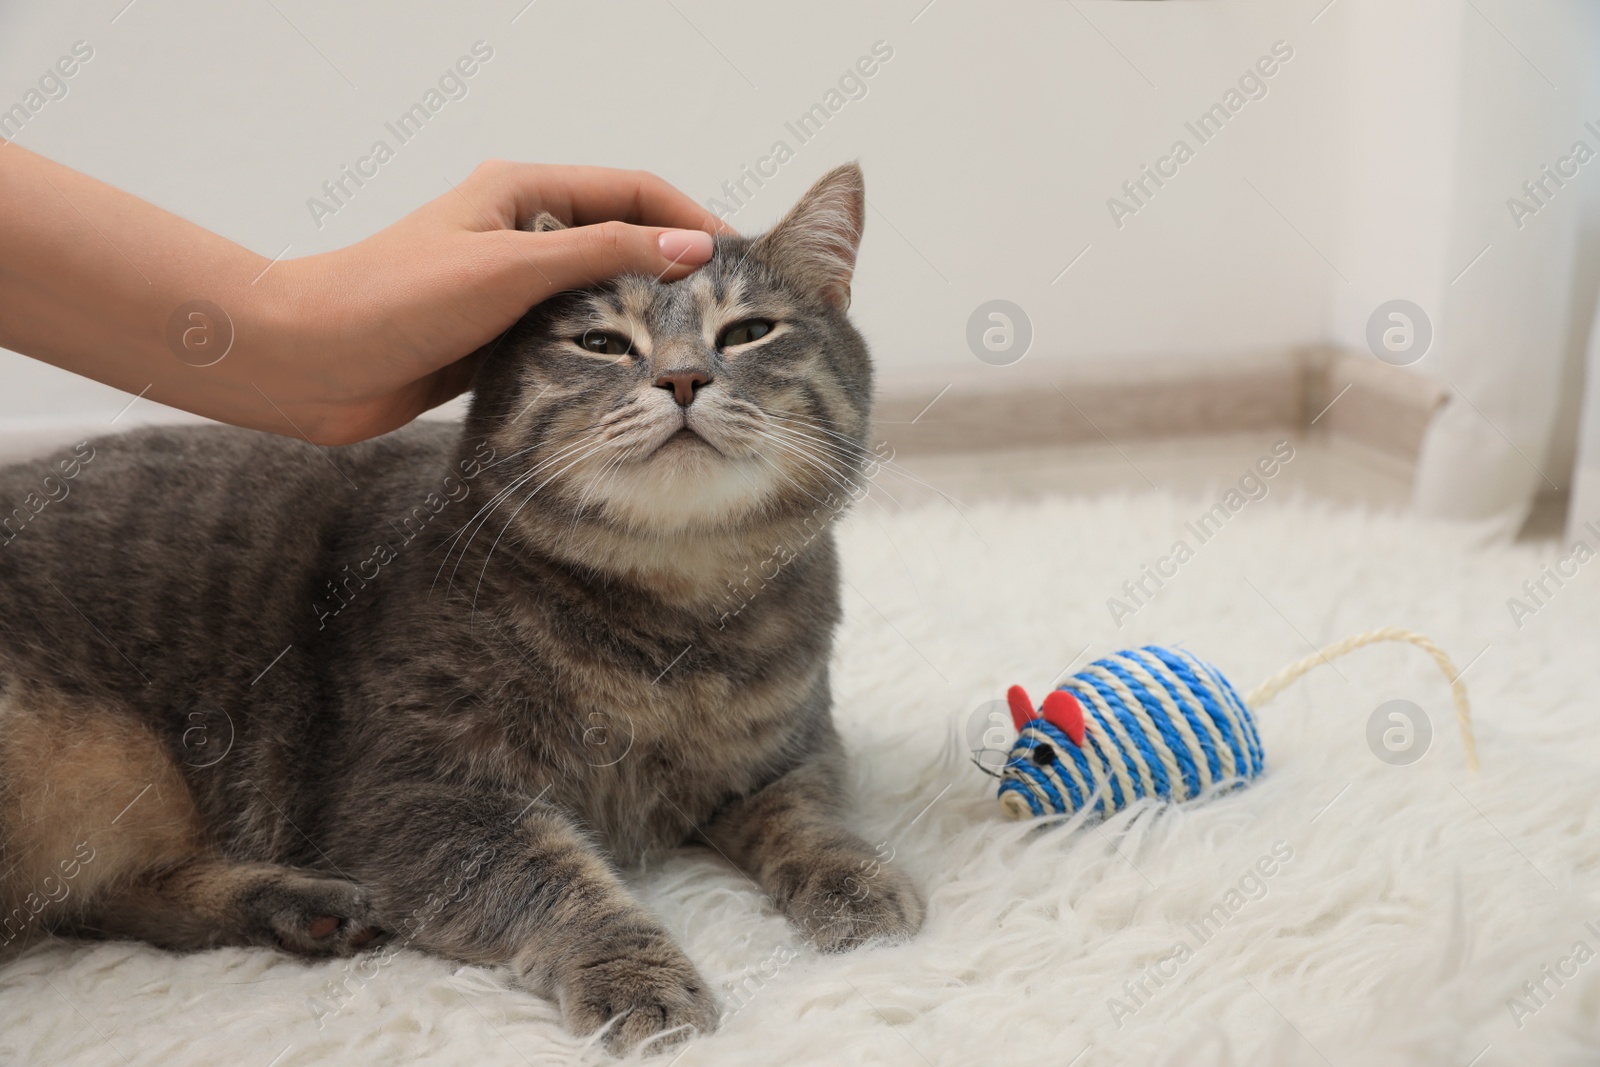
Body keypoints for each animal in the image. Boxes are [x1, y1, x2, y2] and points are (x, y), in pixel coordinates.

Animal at [0, 164, 928, 1049]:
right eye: (602, 343)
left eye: (747, 331)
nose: (683, 375)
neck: (672, 621)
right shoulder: (416, 795)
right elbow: (555, 878)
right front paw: (637, 975)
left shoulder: (790, 751)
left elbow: (811, 818)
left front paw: (861, 883)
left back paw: (301, 909)